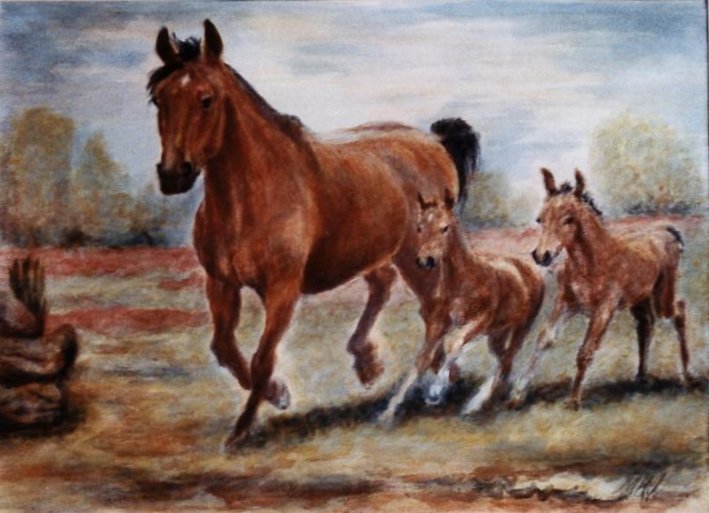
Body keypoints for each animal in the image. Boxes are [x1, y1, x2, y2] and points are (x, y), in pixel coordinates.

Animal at [147, 20, 480, 447]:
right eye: (159, 99)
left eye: (206, 99)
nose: (173, 175)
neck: (254, 195)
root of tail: (434, 142)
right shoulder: (220, 282)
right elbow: (223, 347)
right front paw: (279, 394)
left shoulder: (282, 290)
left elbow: (263, 357)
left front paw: (244, 428)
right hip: (376, 251)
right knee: (384, 287)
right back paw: (373, 364)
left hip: (417, 256)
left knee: (435, 307)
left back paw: (435, 380)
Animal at [379, 189, 545, 421]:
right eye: (419, 227)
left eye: (444, 227)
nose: (425, 260)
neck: (463, 282)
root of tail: (530, 270)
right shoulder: (437, 325)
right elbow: (423, 359)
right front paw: (389, 410)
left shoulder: (478, 322)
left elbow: (453, 344)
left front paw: (435, 392)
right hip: (497, 333)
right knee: (502, 358)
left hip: (522, 327)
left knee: (507, 357)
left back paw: (475, 404)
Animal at [516, 168, 695, 409]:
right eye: (540, 219)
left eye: (568, 219)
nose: (542, 255)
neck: (592, 261)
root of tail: (666, 231)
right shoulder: (565, 304)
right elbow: (545, 339)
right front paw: (517, 394)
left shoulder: (603, 310)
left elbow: (585, 351)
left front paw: (573, 400)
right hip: (640, 299)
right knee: (645, 325)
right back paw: (641, 376)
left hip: (662, 297)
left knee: (679, 312)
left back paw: (687, 376)